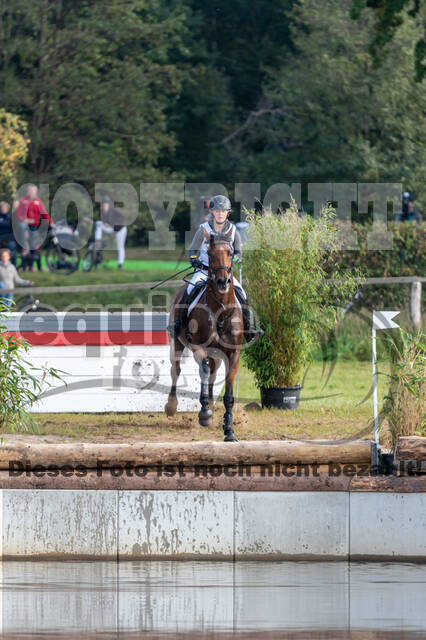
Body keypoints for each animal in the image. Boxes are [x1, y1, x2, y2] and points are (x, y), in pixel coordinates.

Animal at [165, 228, 243, 442]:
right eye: (210, 253)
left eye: (231, 253)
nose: (223, 282)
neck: (220, 313)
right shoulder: (198, 347)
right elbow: (204, 370)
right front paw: (205, 413)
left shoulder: (233, 354)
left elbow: (228, 394)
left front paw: (229, 431)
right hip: (177, 344)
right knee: (176, 371)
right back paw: (171, 406)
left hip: (217, 354)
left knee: (213, 374)